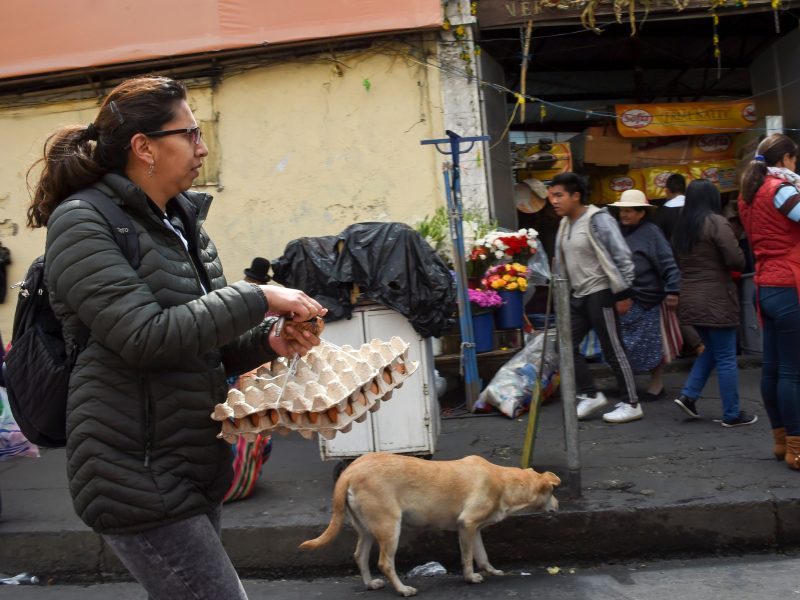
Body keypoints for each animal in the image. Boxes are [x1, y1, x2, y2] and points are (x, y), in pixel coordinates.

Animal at [296, 450, 560, 596]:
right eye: (552, 493)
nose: (558, 506)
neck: (504, 481)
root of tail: (350, 470)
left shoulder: (473, 529)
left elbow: (482, 555)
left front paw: (492, 570)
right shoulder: (467, 524)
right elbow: (467, 558)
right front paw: (470, 577)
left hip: (367, 528)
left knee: (360, 555)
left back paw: (370, 584)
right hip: (389, 526)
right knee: (384, 562)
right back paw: (403, 590)